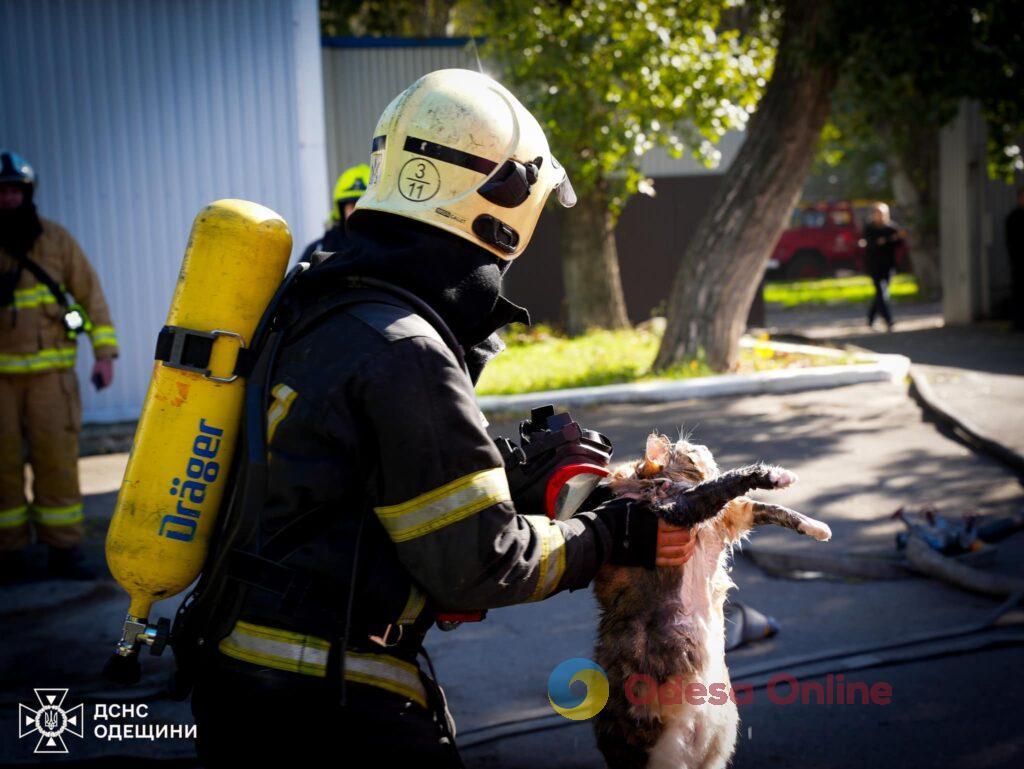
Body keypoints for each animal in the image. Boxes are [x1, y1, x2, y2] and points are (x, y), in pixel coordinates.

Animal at [593, 434, 831, 769]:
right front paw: (777, 476)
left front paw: (817, 527)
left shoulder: (733, 516)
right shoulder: (679, 509)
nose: (699, 445)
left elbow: (769, 507)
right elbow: (728, 480)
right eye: (688, 452)